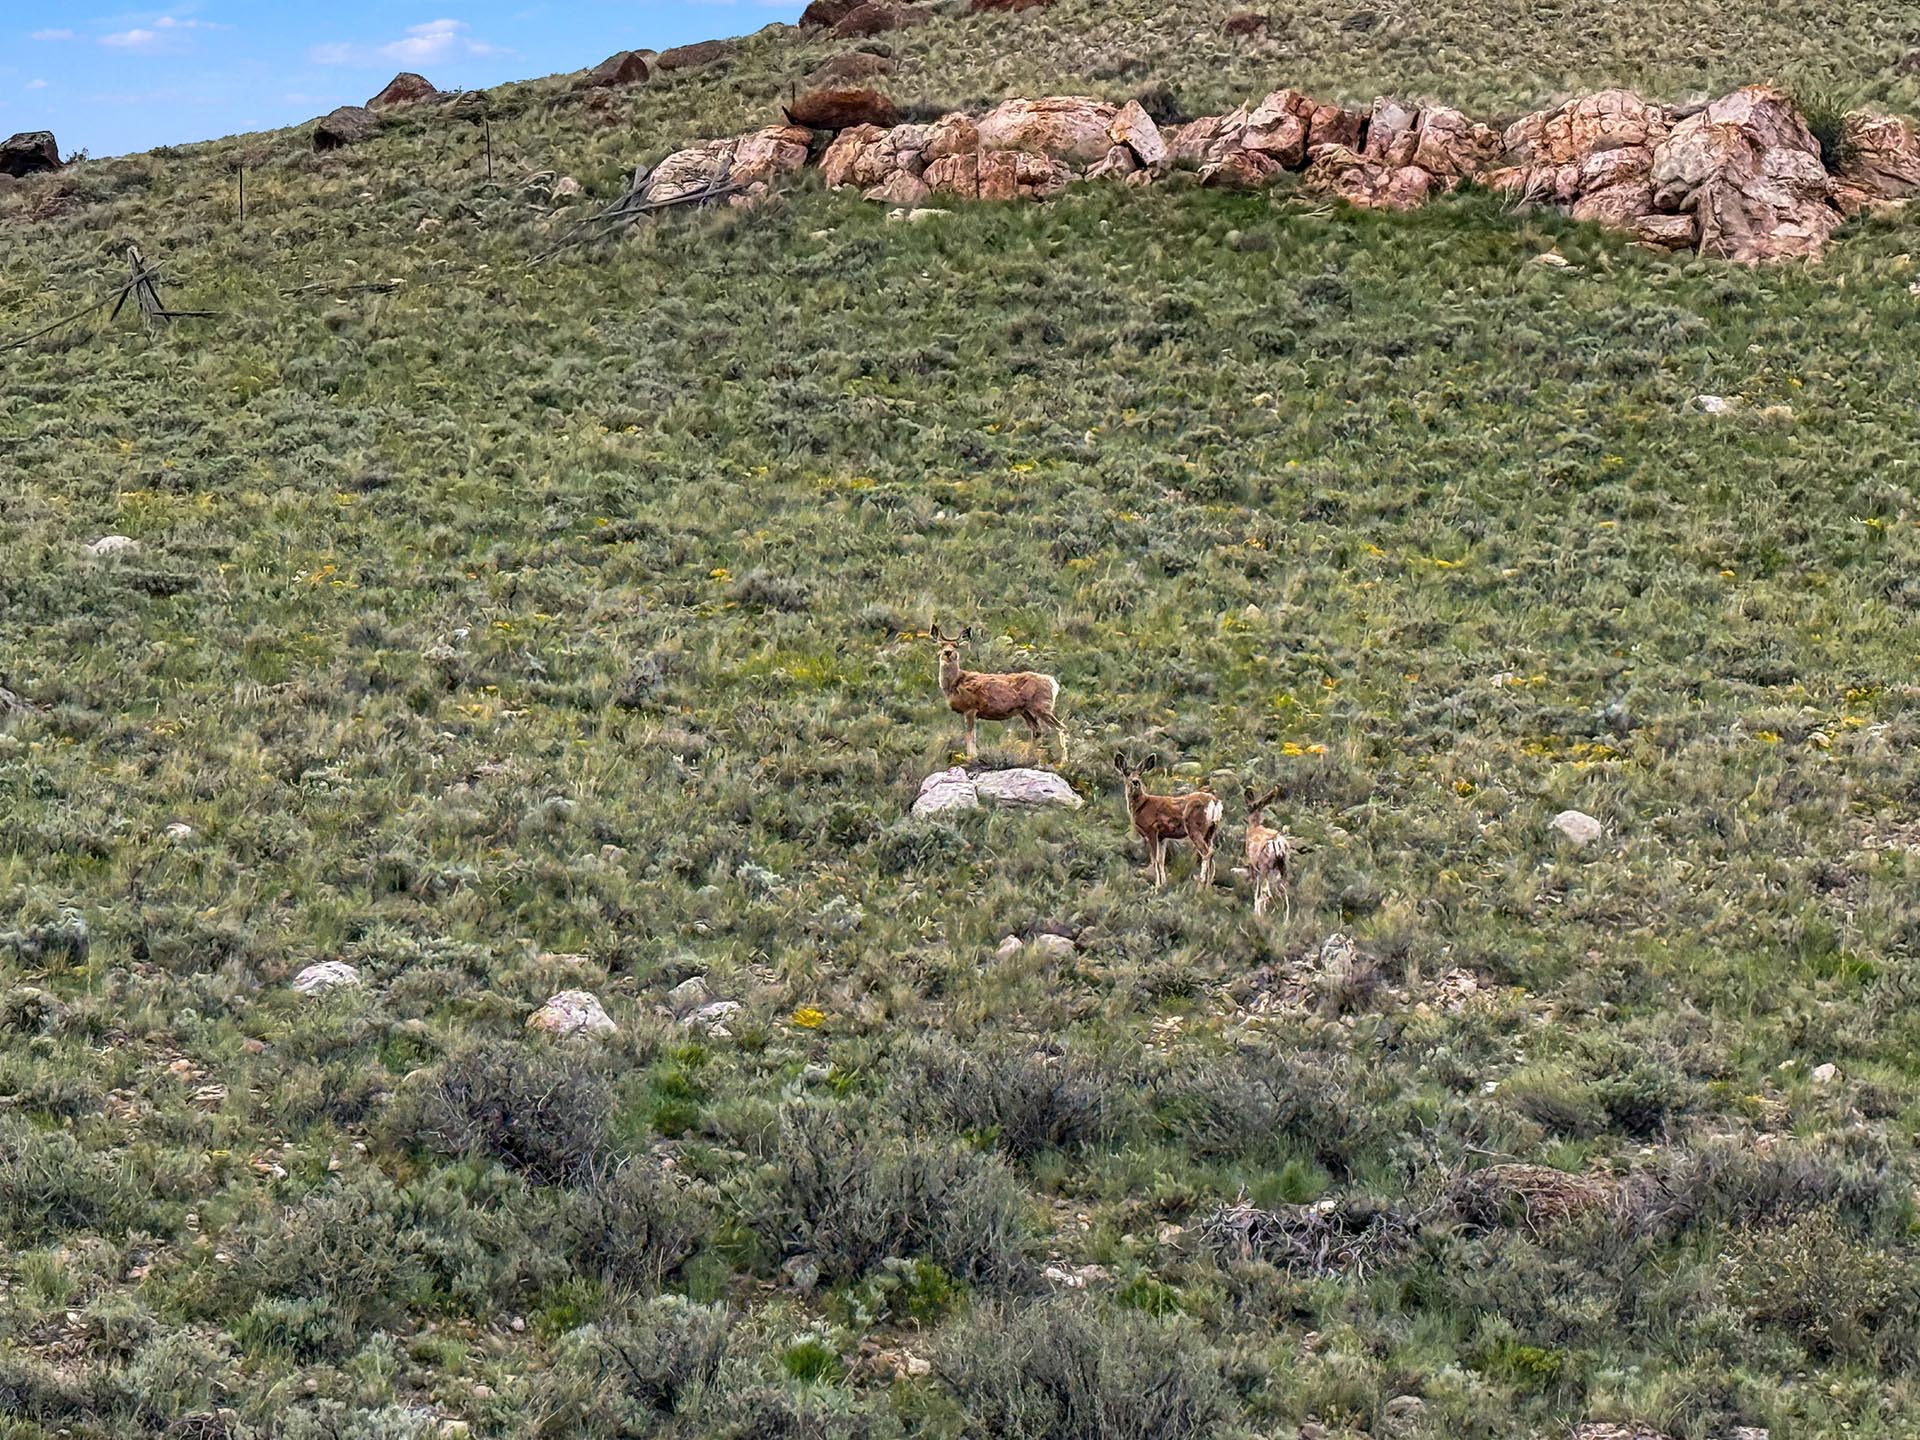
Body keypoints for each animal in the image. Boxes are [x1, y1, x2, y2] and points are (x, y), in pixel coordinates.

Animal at [930, 622, 1067, 761]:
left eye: (956, 645)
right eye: (941, 645)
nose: (947, 652)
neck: (956, 682)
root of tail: (1053, 682)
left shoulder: (970, 708)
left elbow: (970, 736)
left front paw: (972, 757)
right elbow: (970, 736)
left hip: (1042, 706)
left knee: (1060, 727)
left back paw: (1063, 761)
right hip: (1025, 710)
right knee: (1037, 731)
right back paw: (1029, 757)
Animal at [1114, 752, 1222, 888]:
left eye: (1140, 773)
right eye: (1127, 773)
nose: (1135, 782)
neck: (1141, 805)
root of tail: (1215, 801)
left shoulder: (1151, 830)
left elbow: (1155, 860)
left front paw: (1157, 886)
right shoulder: (1162, 836)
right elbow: (1161, 860)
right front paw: (1163, 883)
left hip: (1194, 827)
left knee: (1207, 852)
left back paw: (1201, 881)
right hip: (1211, 830)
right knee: (1212, 852)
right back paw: (1208, 885)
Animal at [1242, 784, 1297, 919]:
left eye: (1248, 808)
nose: (1244, 819)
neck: (1254, 827)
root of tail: (1278, 844)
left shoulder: (1254, 866)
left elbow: (1257, 891)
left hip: (1265, 867)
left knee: (1267, 892)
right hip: (1284, 867)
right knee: (1284, 893)